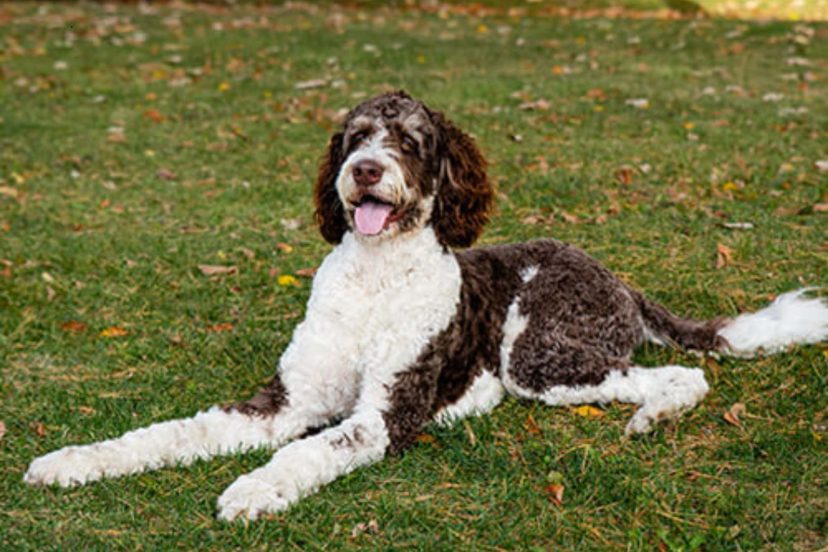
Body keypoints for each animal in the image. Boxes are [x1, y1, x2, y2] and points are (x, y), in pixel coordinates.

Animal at [24, 91, 828, 520]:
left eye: (410, 141)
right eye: (354, 137)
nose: (363, 170)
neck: (375, 281)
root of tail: (618, 279)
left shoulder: (385, 414)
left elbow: (306, 451)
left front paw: (254, 487)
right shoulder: (283, 402)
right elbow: (168, 433)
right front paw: (75, 460)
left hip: (539, 357)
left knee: (680, 376)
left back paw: (651, 417)